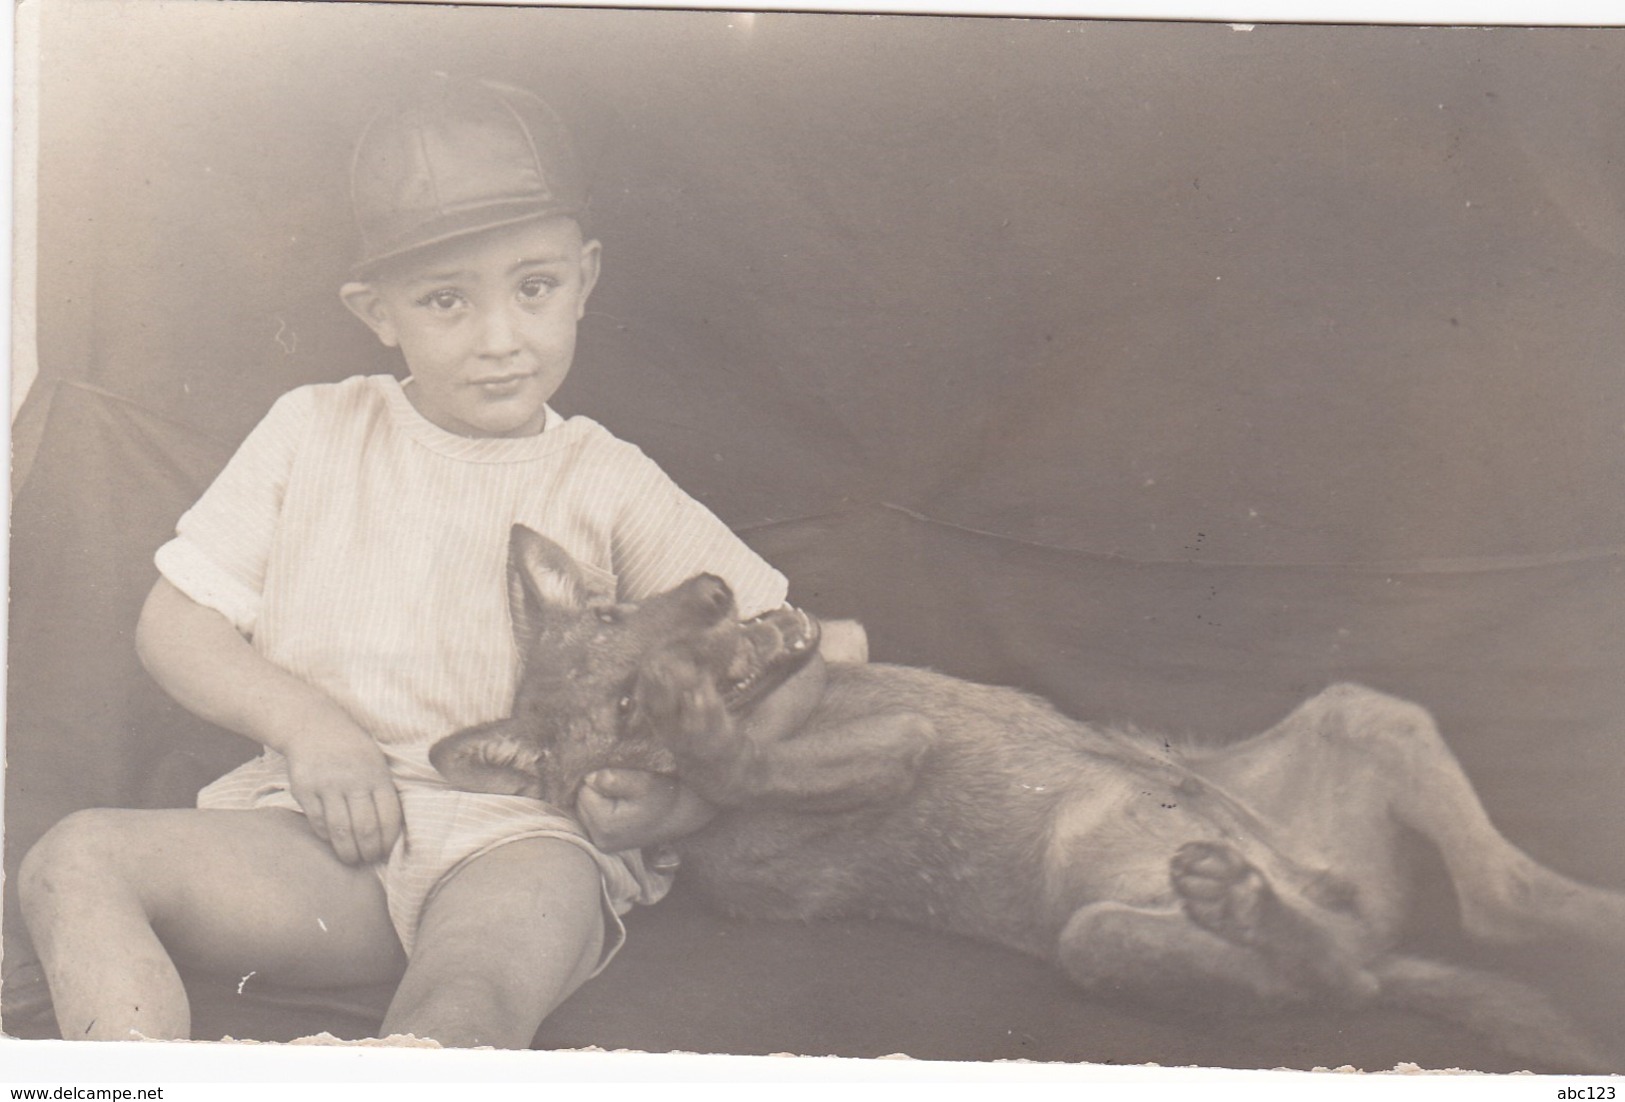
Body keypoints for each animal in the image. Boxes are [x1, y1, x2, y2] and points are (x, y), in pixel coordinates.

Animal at [432, 523, 1625, 1072]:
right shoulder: (858, 766)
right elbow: (731, 767)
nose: (716, 594)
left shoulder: (852, 691)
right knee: (1338, 979)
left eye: (611, 611)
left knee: (1496, 902)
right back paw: (1249, 908)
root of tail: (1327, 895)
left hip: (1361, 711)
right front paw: (693, 748)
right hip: (1100, 937)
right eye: (622, 700)